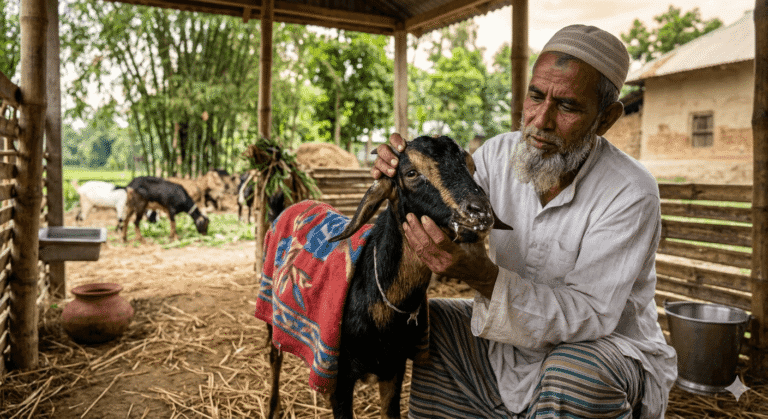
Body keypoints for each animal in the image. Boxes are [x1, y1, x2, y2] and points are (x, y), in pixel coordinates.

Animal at [255, 135, 495, 419]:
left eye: (471, 167)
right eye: (411, 173)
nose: (480, 213)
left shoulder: (393, 368)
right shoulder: (341, 380)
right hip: (271, 309)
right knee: (275, 356)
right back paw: (273, 407)